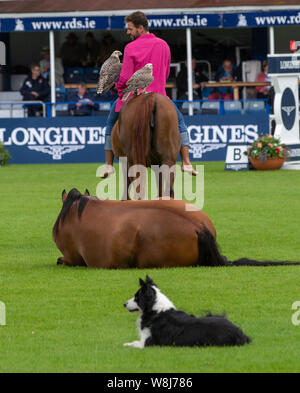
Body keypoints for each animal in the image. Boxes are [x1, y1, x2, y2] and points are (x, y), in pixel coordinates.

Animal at [123, 274, 252, 348]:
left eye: (136, 297)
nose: (124, 304)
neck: (155, 310)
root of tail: (240, 333)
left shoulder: (148, 342)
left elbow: (132, 343)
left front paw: (125, 344)